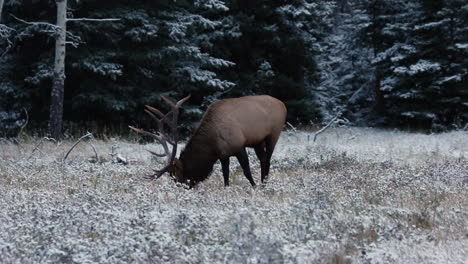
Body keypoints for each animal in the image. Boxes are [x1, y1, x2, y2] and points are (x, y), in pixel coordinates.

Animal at [130, 95, 288, 188]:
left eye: (177, 175)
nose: (182, 187)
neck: (212, 145)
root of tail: (283, 104)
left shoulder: (238, 146)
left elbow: (246, 171)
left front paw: (254, 187)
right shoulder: (223, 154)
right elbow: (225, 174)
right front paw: (227, 188)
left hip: (274, 134)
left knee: (267, 159)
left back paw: (263, 184)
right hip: (257, 141)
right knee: (263, 159)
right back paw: (263, 182)